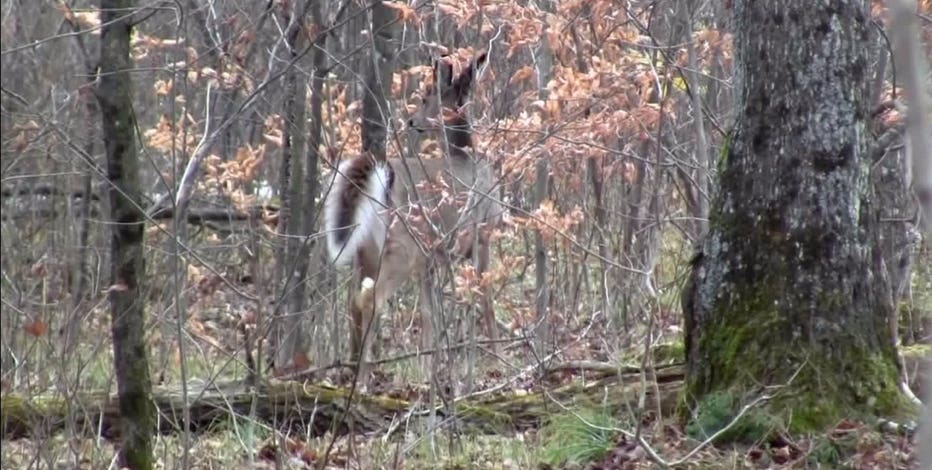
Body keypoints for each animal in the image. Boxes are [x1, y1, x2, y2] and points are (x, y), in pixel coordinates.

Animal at [323, 51, 502, 377]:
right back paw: (363, 377)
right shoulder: (483, 234)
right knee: (371, 299)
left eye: (426, 97)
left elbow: (428, 313)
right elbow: (485, 299)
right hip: (402, 244)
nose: (412, 121)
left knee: (355, 300)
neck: (465, 155)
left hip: (370, 248)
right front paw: (496, 358)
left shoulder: (429, 259)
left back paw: (354, 370)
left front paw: (427, 368)